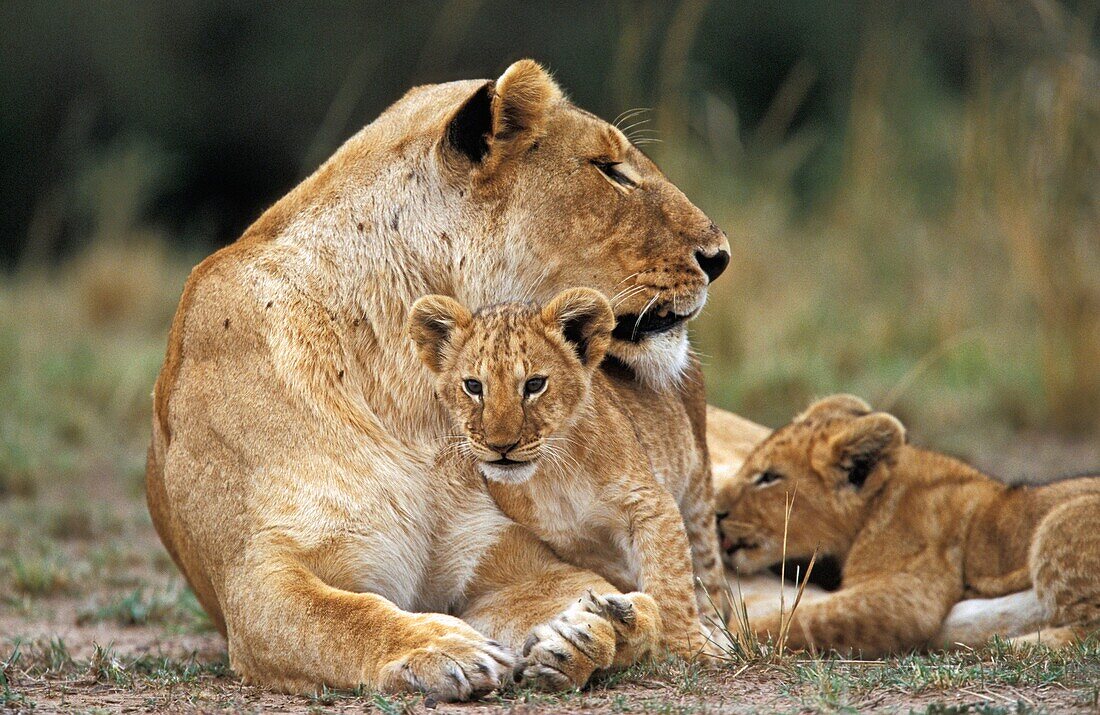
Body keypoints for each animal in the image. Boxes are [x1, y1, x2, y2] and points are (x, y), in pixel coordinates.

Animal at [146, 61, 743, 695]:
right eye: (610, 170)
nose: (719, 257)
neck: (409, 386)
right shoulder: (257, 579)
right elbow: (344, 617)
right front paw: (444, 648)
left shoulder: (501, 557)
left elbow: (612, 596)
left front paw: (593, 630)